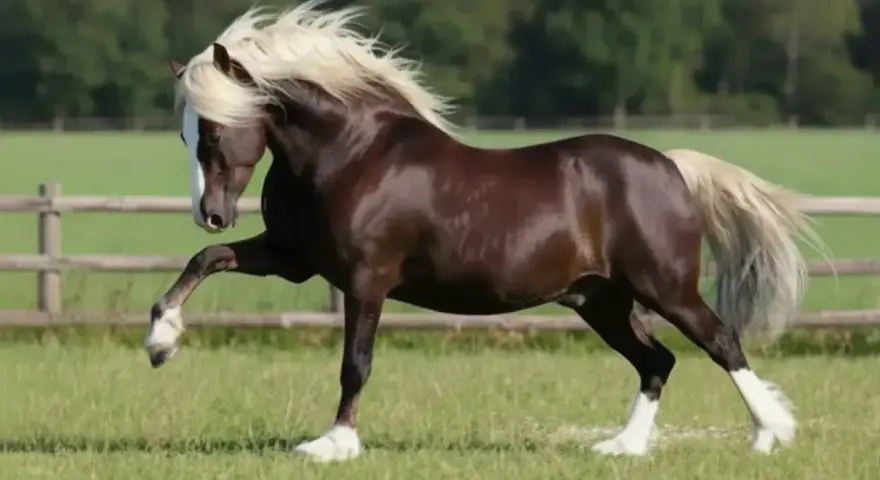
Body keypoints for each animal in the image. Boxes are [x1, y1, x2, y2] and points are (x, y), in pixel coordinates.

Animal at [144, 1, 828, 461]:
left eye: (213, 130)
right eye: (184, 132)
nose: (210, 211)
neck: (353, 153)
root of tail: (671, 166)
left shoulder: (367, 279)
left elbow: (355, 363)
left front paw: (333, 444)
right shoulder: (292, 259)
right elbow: (205, 260)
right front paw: (161, 342)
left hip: (665, 287)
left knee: (721, 341)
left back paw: (769, 433)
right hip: (600, 299)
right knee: (657, 358)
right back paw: (621, 447)